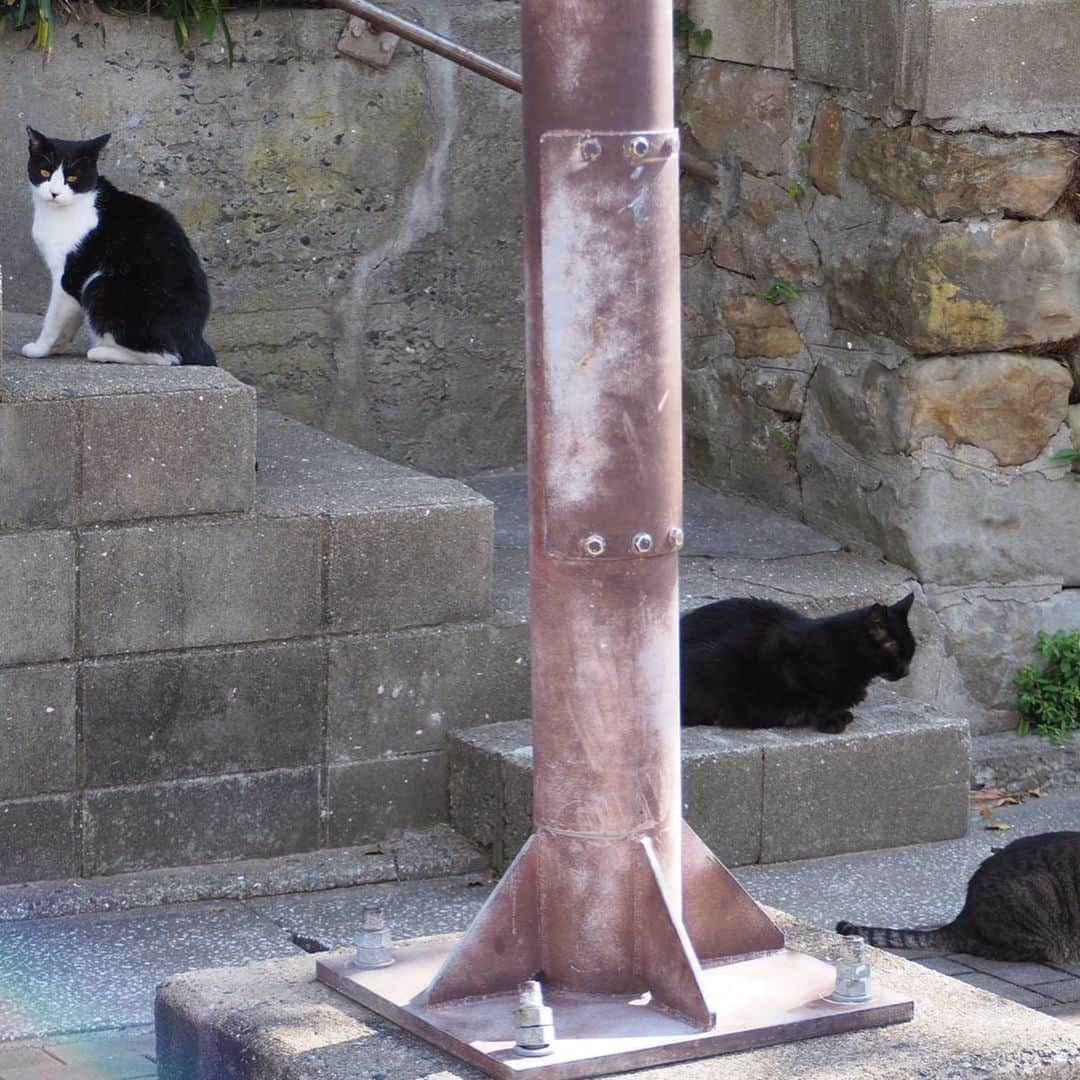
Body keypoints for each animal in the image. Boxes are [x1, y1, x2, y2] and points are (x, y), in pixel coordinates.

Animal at [22, 126, 214, 367]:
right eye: (45, 172)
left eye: (73, 177)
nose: (54, 193)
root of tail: (195, 340)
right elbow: (69, 321)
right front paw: (58, 347)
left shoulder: (68, 275)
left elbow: (54, 318)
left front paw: (40, 349)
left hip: (100, 284)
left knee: (167, 355)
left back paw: (102, 352)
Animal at [678, 591, 915, 734]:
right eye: (894, 649)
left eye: (911, 651)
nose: (906, 671)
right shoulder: (782, 656)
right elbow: (815, 700)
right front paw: (829, 721)